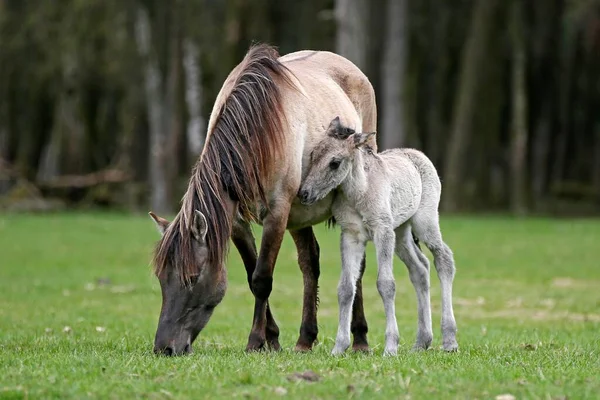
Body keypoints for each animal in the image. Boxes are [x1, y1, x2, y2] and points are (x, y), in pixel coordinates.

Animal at [148, 43, 378, 354]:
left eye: (193, 277)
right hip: (300, 217)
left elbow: (262, 279)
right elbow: (251, 274)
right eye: (162, 277)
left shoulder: (277, 215)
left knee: (358, 265)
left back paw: (360, 339)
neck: (258, 130)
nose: (165, 348)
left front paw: (256, 340)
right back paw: (305, 339)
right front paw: (272, 339)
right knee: (310, 263)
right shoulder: (236, 223)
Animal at [298, 118, 458, 356]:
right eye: (312, 155)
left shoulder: (382, 230)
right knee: (420, 268)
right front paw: (339, 347)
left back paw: (449, 340)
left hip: (424, 222)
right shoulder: (351, 235)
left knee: (443, 258)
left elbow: (386, 284)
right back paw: (422, 341)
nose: (304, 194)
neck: (359, 192)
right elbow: (345, 288)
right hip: (400, 232)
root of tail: (418, 154)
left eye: (334, 163)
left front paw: (390, 347)